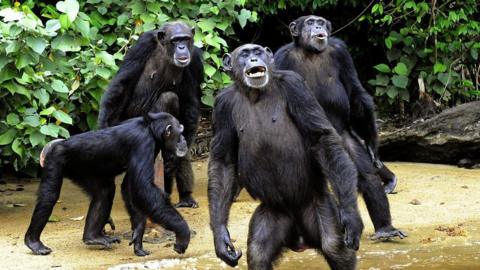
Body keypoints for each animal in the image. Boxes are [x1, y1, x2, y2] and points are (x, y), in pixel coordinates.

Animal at [24, 113, 189, 256]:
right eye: (180, 132)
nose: (184, 139)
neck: (151, 129)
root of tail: (55, 144)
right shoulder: (143, 144)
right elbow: (143, 188)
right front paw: (182, 233)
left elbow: (129, 186)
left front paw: (138, 236)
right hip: (55, 159)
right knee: (49, 196)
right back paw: (34, 242)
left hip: (82, 171)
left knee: (104, 192)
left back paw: (92, 237)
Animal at [97, 21, 202, 209]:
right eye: (175, 40)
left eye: (185, 39)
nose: (182, 47)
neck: (166, 52)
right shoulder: (142, 45)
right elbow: (122, 84)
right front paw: (102, 128)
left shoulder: (195, 60)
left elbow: (190, 104)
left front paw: (176, 159)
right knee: (168, 98)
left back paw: (185, 197)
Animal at [209, 43, 364, 268]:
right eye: (245, 54)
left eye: (258, 51)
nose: (254, 60)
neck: (254, 94)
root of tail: (299, 238)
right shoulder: (221, 106)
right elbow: (223, 162)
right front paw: (221, 237)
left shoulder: (296, 86)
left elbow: (321, 138)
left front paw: (351, 217)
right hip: (273, 214)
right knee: (258, 252)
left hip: (319, 205)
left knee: (334, 245)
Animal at [274, 14, 404, 239]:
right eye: (309, 22)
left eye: (320, 21)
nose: (318, 27)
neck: (311, 52)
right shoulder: (281, 59)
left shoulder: (342, 53)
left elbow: (355, 94)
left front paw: (372, 144)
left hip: (343, 140)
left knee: (366, 175)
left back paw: (385, 229)